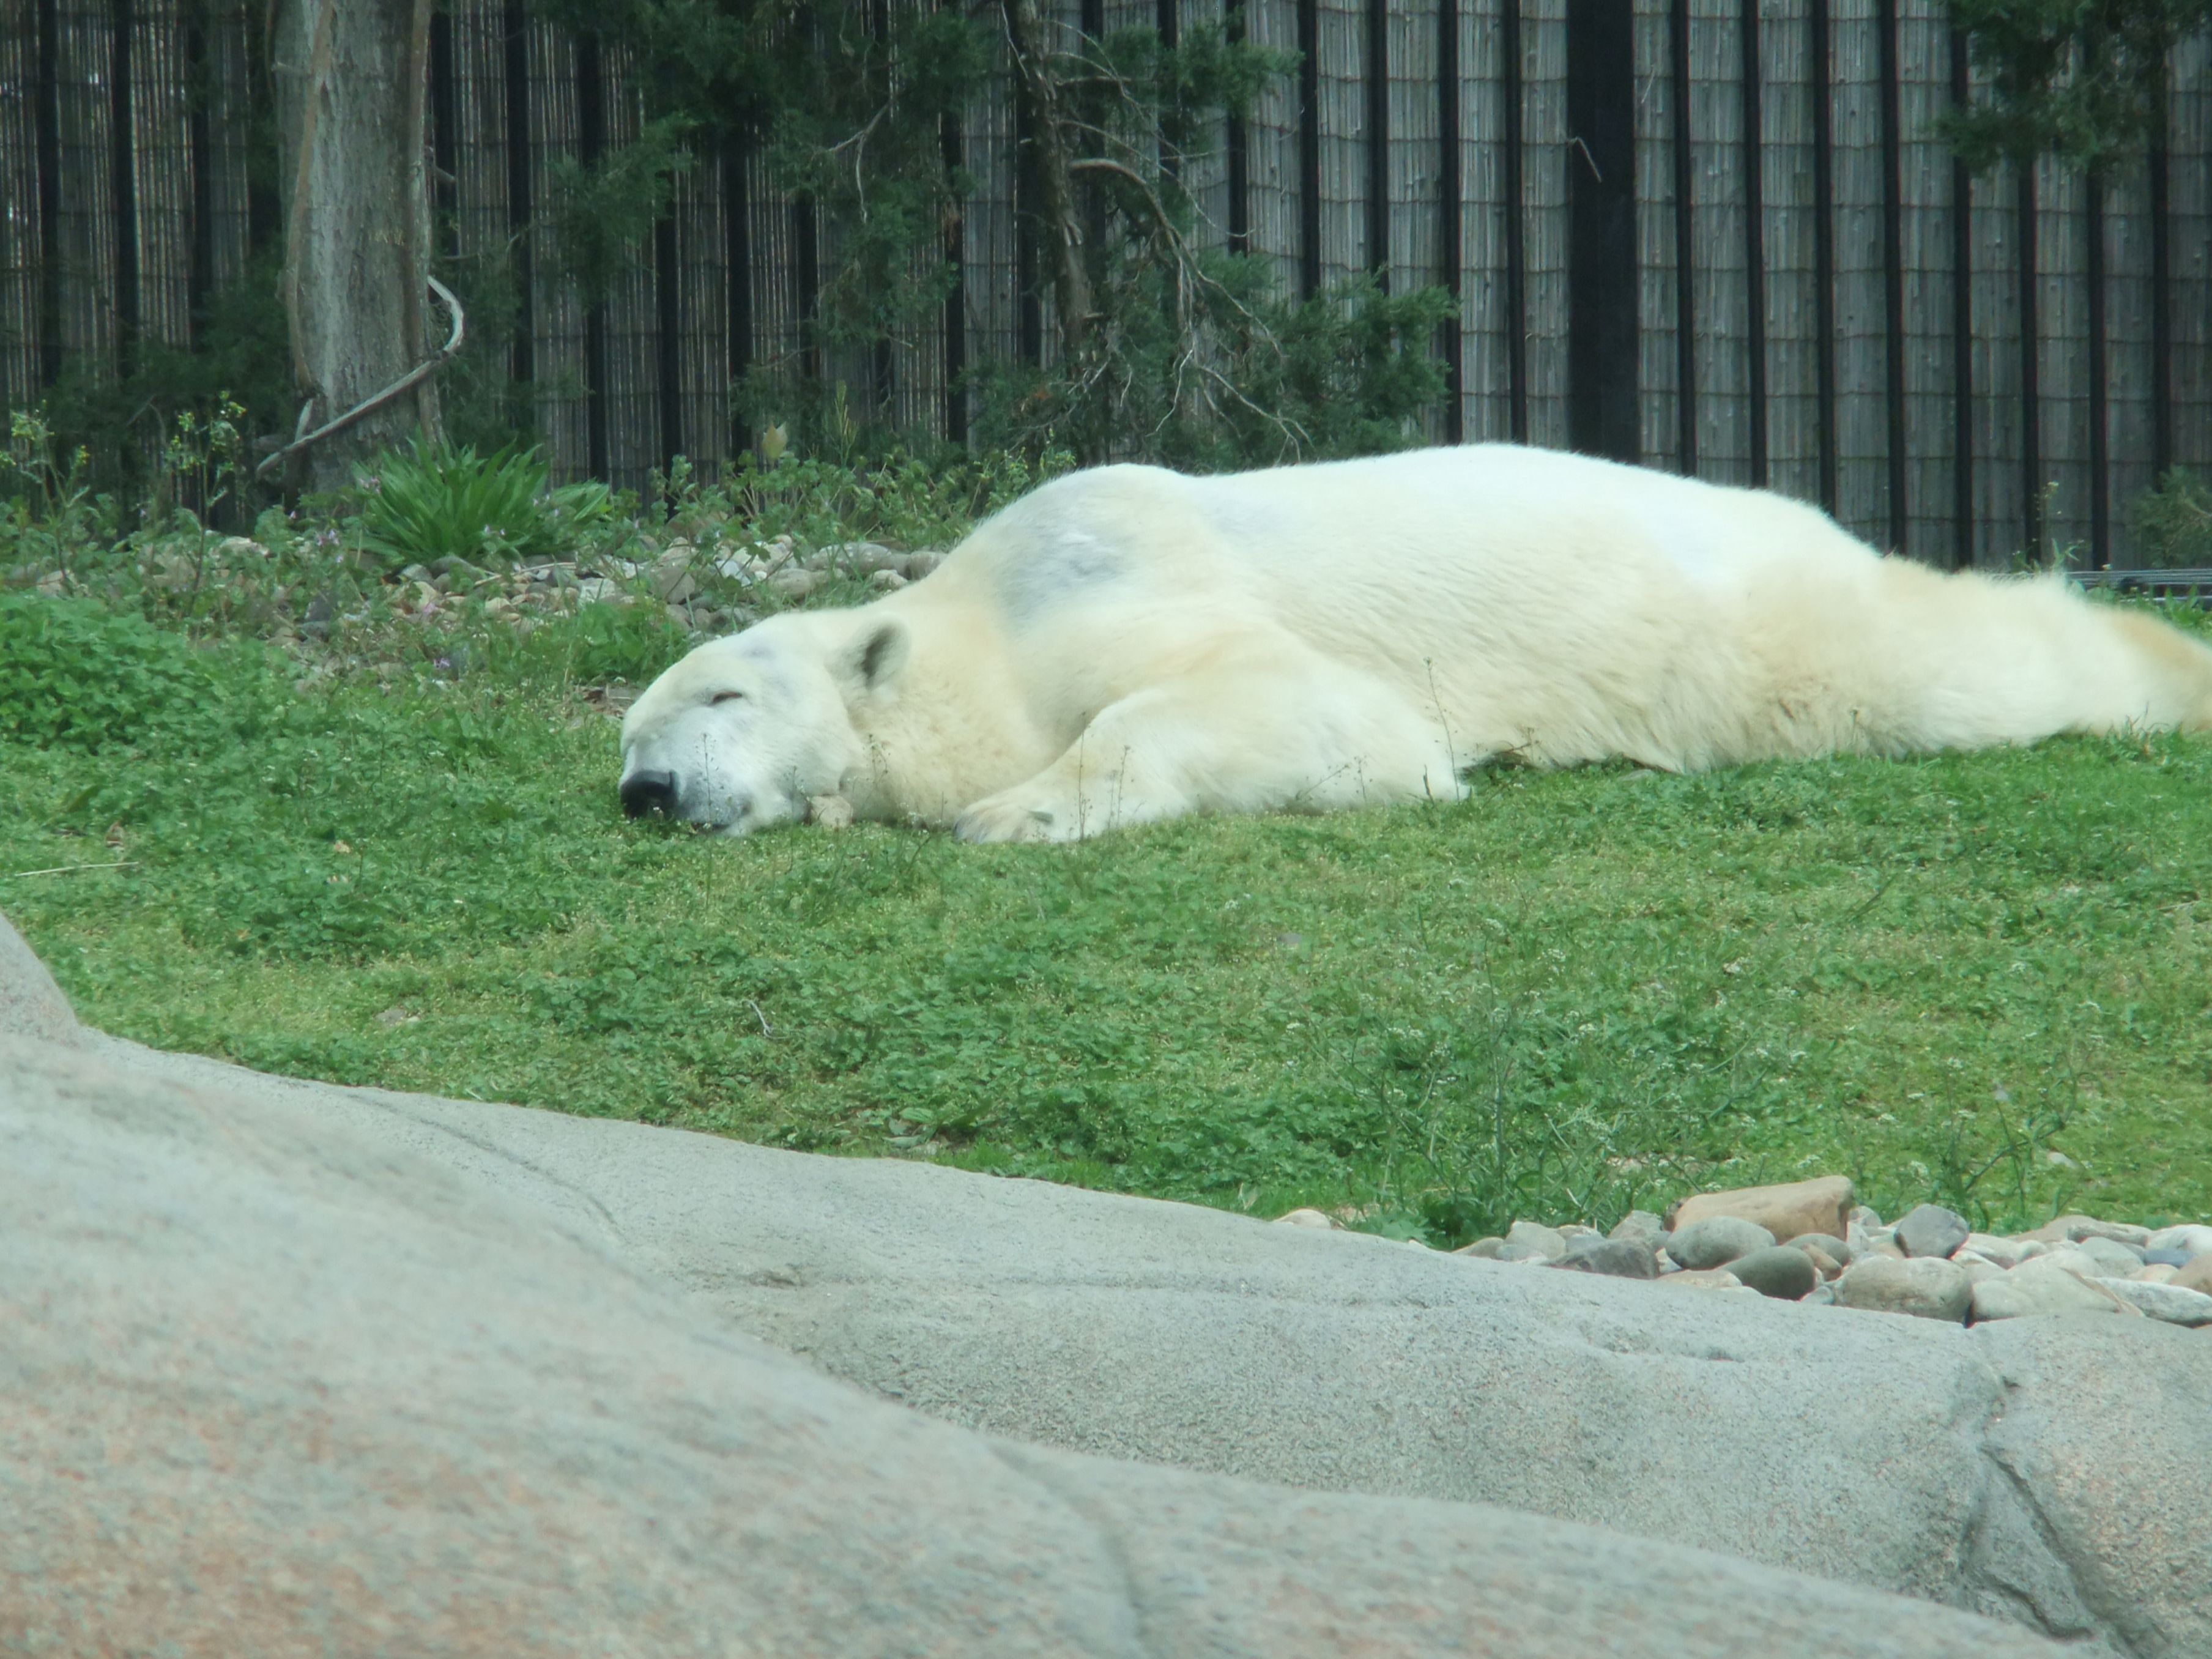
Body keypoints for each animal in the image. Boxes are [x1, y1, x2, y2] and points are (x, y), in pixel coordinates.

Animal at [619, 444, 2212, 845]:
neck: (981, 614)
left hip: (1743, 628)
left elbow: (1308, 703)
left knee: (1941, 662)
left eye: (722, 692)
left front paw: (1014, 810)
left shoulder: (1113, 566)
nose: (645, 790)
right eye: (627, 734)